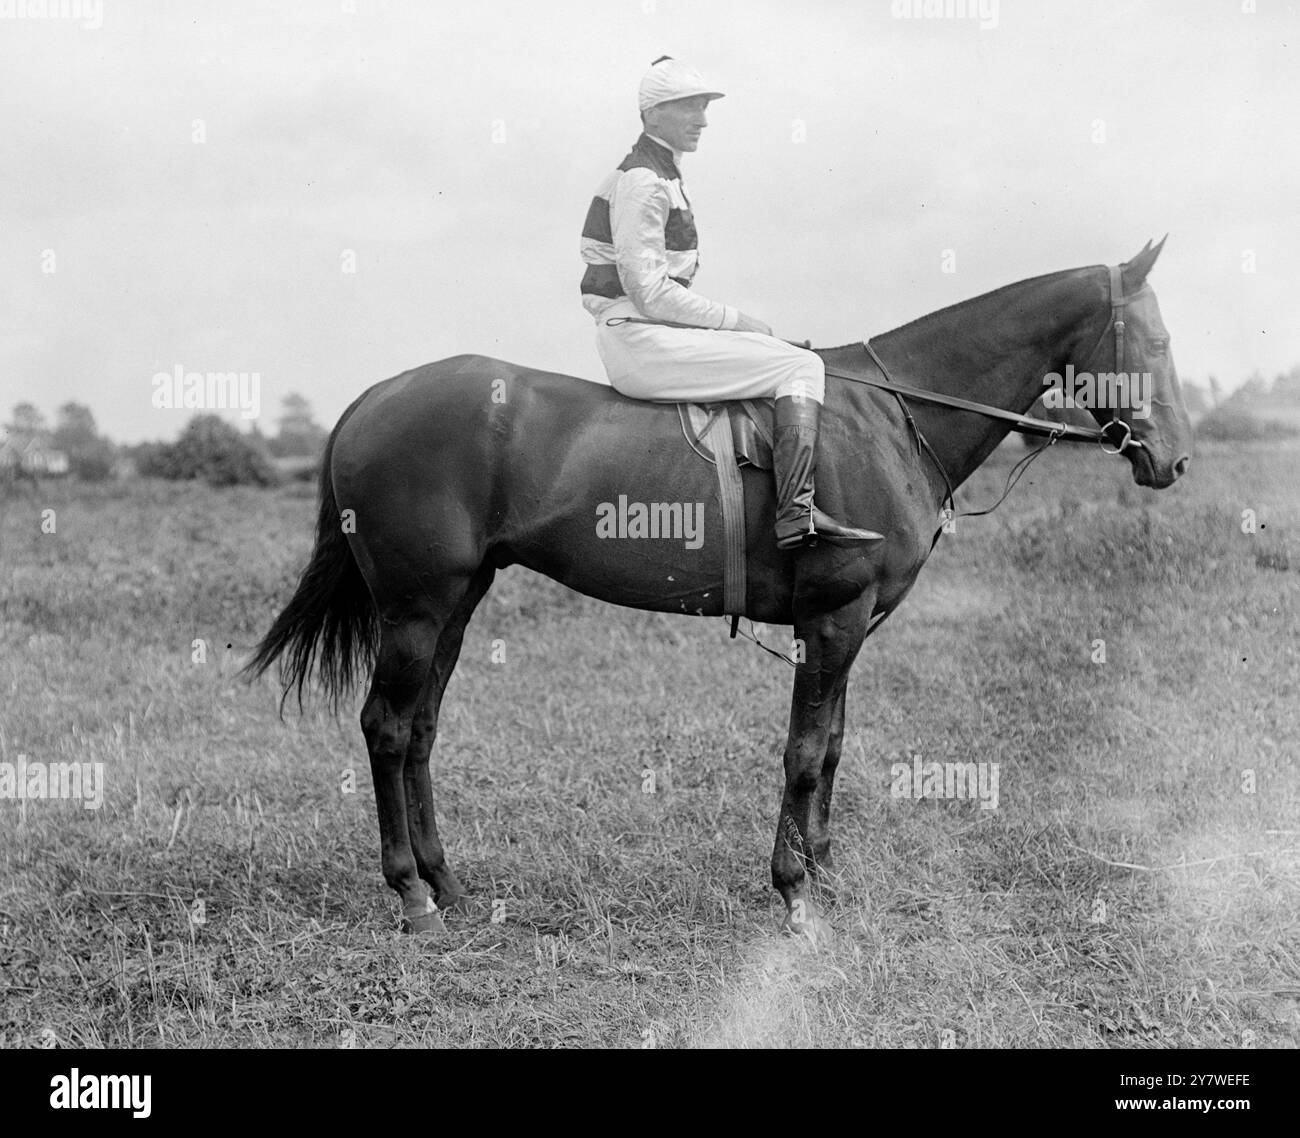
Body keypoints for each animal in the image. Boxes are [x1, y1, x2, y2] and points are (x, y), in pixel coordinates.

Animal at [241, 238, 1190, 936]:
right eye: (1156, 343)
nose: (1174, 462)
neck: (890, 417)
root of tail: (372, 398)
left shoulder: (846, 627)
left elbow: (832, 747)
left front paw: (823, 872)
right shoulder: (832, 618)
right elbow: (804, 752)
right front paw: (794, 890)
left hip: (456, 602)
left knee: (422, 731)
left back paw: (447, 882)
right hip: (416, 607)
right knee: (387, 727)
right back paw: (410, 893)